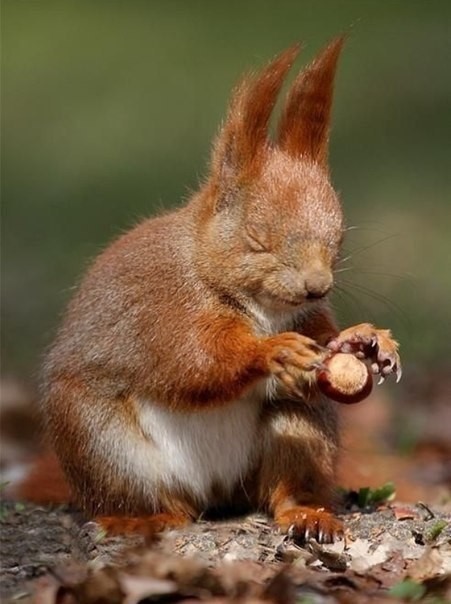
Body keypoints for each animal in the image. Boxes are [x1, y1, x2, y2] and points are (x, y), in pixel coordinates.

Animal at [15, 37, 402, 544]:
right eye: (257, 238)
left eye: (338, 238)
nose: (317, 287)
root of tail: (215, 493)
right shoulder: (165, 308)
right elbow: (195, 362)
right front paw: (271, 352)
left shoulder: (309, 317)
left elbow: (325, 338)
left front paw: (368, 340)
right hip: (101, 441)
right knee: (148, 500)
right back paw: (139, 518)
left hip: (301, 430)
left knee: (285, 483)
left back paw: (307, 514)